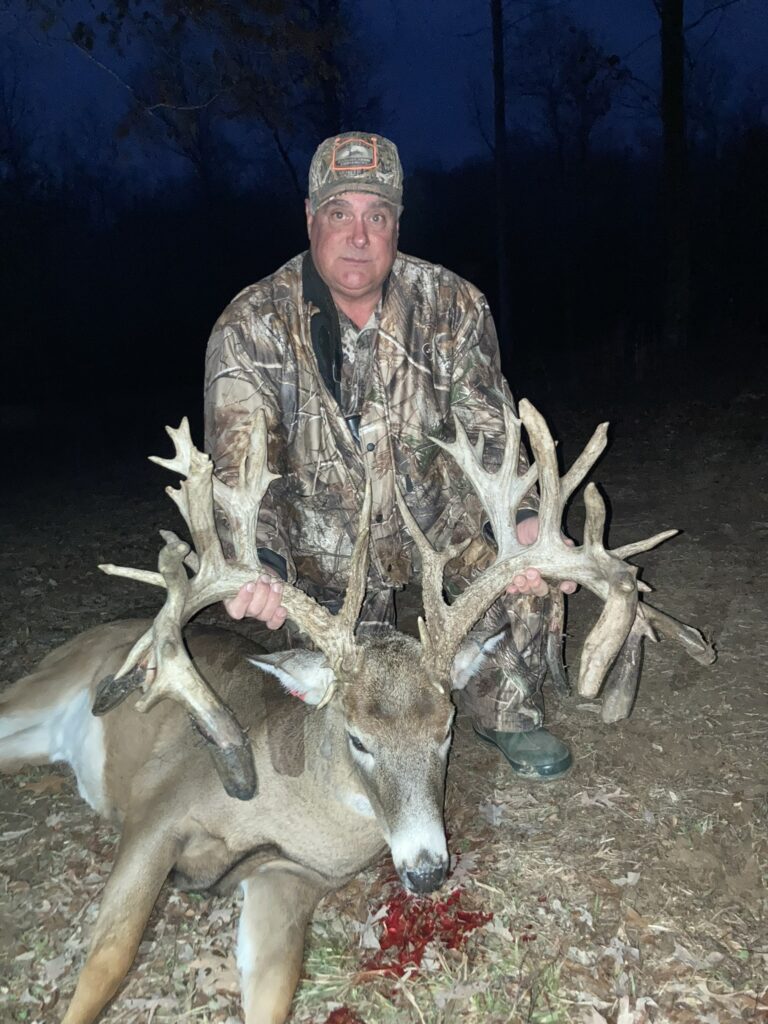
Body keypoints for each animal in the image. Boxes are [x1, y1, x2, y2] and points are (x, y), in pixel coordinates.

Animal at [0, 400, 714, 1024]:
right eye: (358, 738)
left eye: (447, 729)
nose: (426, 872)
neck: (299, 802)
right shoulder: (160, 810)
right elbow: (110, 959)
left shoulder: (291, 876)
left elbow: (274, 991)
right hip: (42, 691)